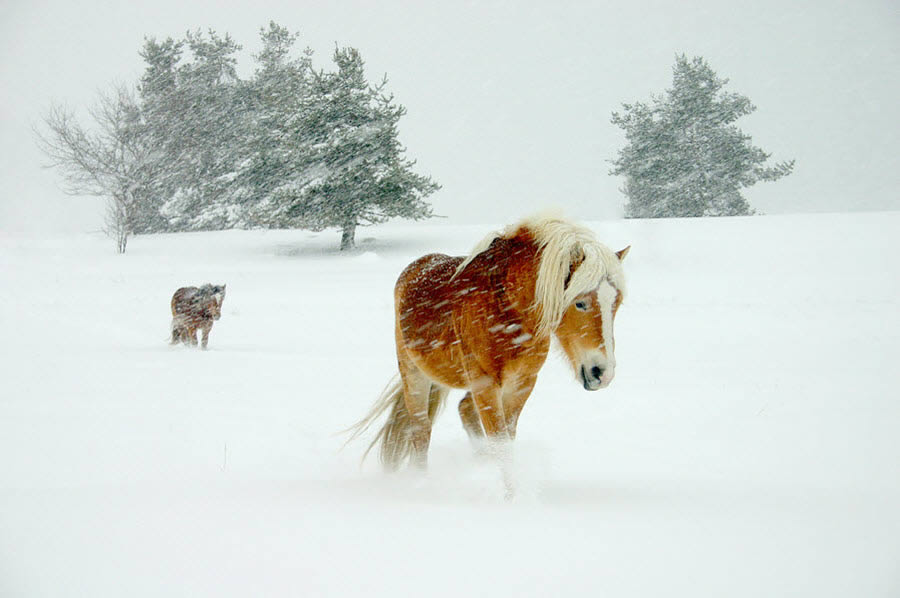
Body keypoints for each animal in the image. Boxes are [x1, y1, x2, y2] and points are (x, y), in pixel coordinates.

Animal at [348, 216, 628, 478]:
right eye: (579, 302)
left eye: (617, 303)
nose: (602, 373)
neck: (506, 308)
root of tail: (413, 268)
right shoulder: (485, 385)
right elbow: (501, 445)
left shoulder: (521, 384)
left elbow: (506, 440)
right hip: (414, 375)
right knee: (421, 430)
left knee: (463, 411)